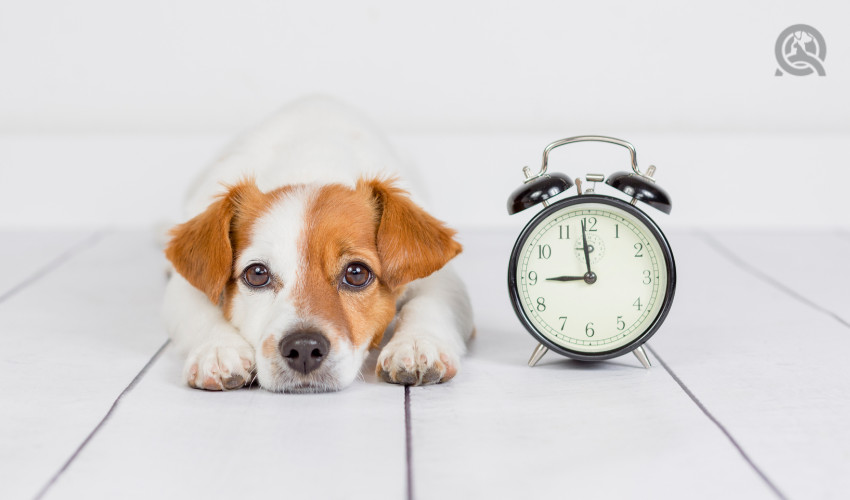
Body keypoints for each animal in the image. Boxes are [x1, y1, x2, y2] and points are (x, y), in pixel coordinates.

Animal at [162, 97, 474, 392]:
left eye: (357, 273)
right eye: (257, 274)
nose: (303, 348)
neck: (310, 166)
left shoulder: (441, 278)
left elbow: (427, 303)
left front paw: (418, 343)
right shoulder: (183, 288)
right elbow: (200, 313)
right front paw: (218, 350)